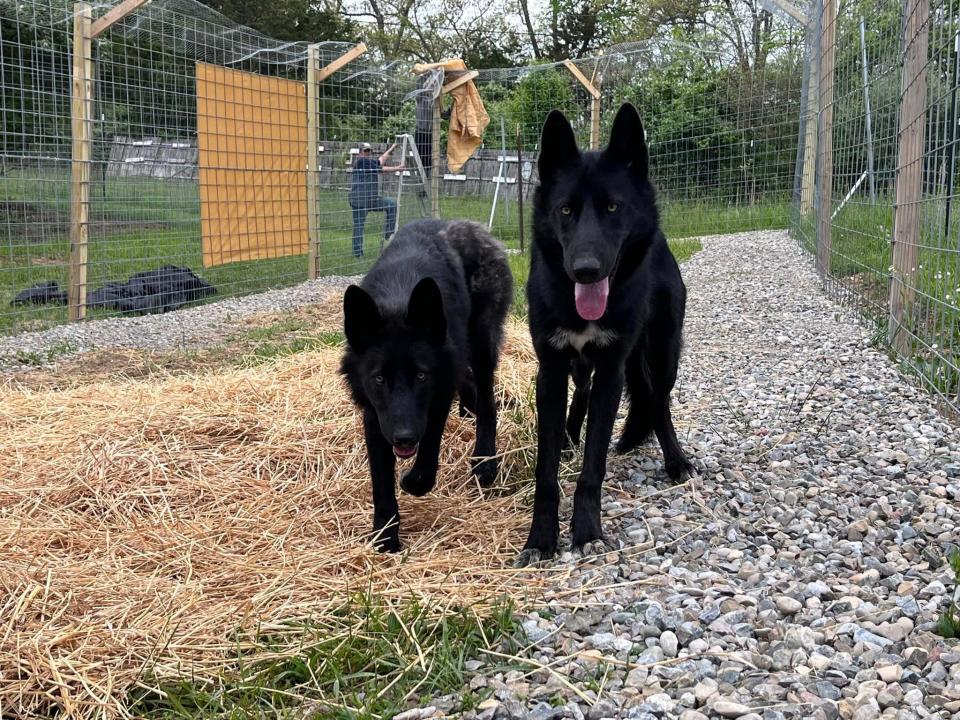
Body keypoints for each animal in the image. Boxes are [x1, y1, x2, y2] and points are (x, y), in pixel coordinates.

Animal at [342, 218, 512, 552]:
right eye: (379, 378)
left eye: (421, 376)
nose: (405, 438)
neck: (398, 296)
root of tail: (473, 227)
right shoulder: (376, 416)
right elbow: (381, 481)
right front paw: (386, 536)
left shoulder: (438, 394)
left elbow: (430, 445)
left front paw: (416, 481)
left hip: (481, 344)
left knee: (488, 401)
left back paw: (485, 462)